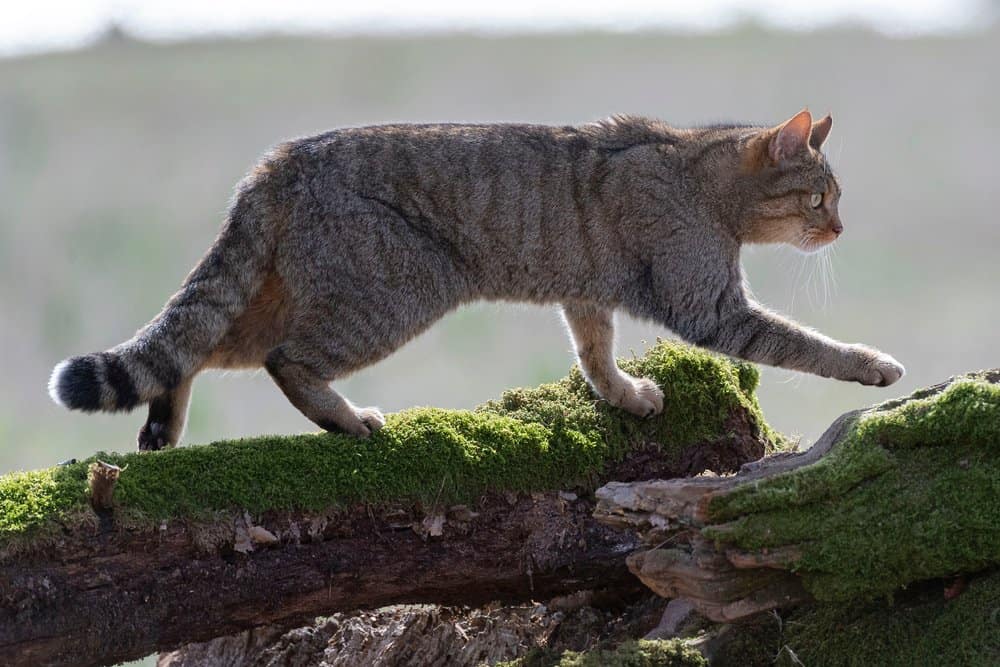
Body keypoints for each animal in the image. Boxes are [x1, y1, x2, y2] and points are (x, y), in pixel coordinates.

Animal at [47, 109, 908, 452]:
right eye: (820, 197)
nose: (839, 228)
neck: (701, 174)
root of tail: (275, 164)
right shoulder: (711, 307)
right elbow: (806, 345)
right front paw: (873, 365)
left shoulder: (587, 293)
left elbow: (595, 355)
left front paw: (625, 395)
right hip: (392, 292)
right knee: (281, 359)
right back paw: (347, 418)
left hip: (299, 286)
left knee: (199, 345)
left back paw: (165, 426)